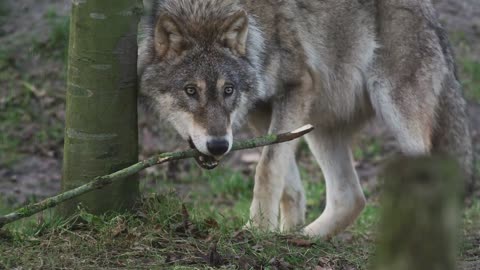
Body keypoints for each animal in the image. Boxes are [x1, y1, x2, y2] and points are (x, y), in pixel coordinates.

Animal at [137, 0, 474, 237]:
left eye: (228, 90)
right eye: (190, 90)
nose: (219, 145)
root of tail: (433, 15)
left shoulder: (297, 89)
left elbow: (267, 168)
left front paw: (255, 229)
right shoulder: (263, 110)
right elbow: (285, 179)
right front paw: (277, 233)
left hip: (395, 111)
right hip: (319, 127)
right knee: (351, 198)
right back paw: (300, 239)